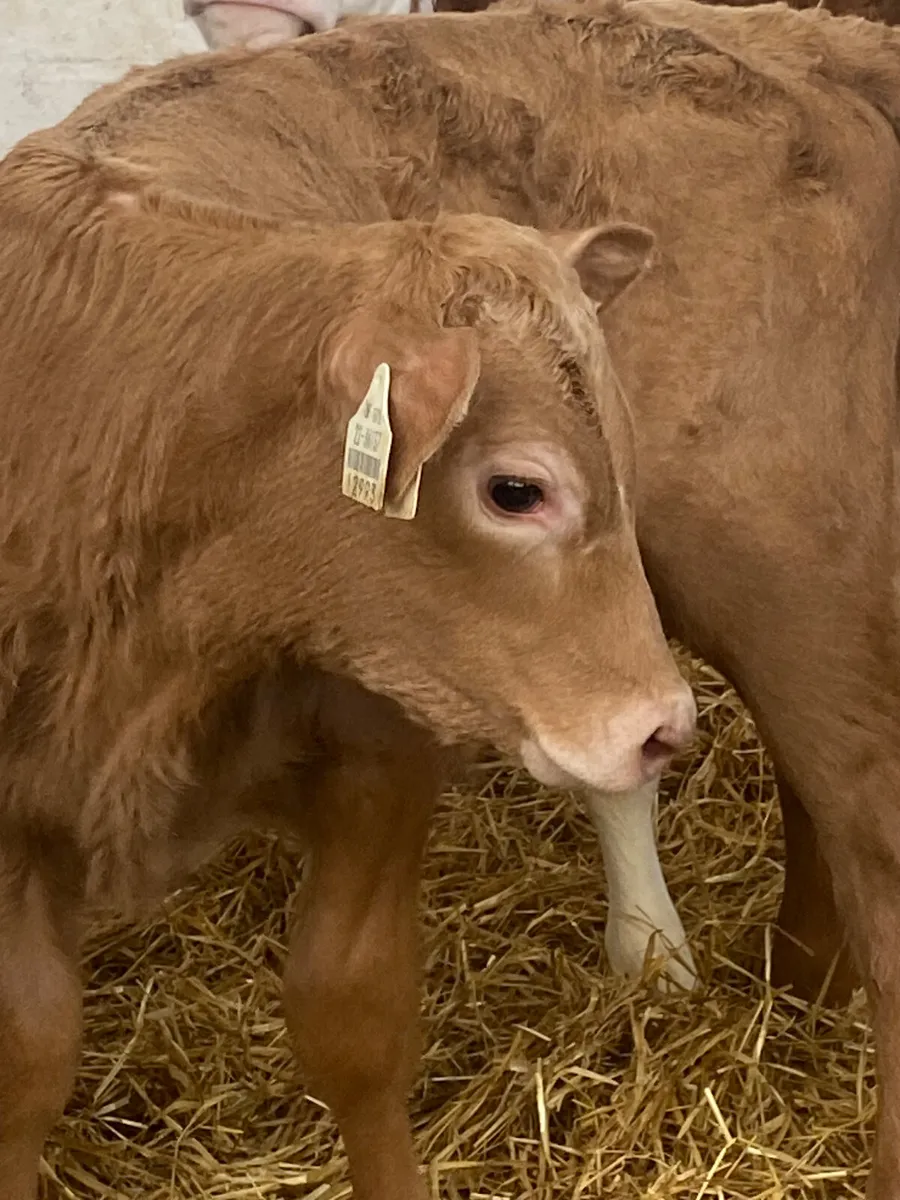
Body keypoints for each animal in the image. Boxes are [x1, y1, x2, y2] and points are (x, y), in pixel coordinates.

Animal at [31, 0, 900, 1193]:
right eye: (518, 488)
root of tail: (821, 58)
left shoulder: (386, 733)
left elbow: (351, 1012)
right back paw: (796, 983)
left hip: (804, 596)